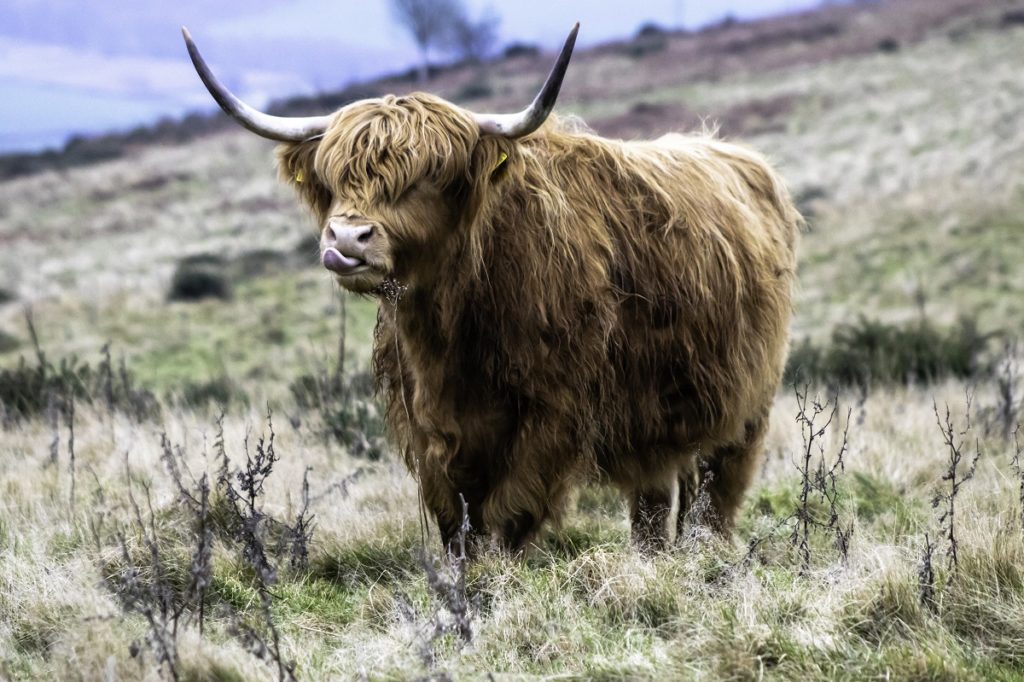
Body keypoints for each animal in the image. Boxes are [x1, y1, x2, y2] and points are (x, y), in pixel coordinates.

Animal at [184, 23, 798, 548]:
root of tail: (733, 153)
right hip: (654, 423)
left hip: (744, 409)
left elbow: (507, 515)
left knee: (716, 498)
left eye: (427, 178)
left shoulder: (552, 418)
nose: (346, 238)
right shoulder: (427, 428)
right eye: (335, 178)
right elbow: (457, 520)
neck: (453, 331)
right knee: (652, 503)